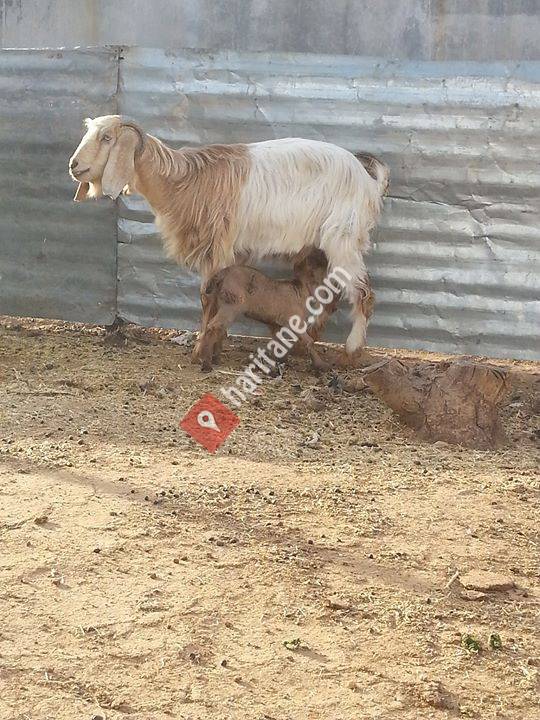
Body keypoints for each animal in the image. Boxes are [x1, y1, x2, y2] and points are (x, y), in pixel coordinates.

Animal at [69, 115, 388, 355]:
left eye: (107, 138)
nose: (74, 165)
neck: (183, 183)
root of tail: (369, 182)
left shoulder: (217, 248)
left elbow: (207, 296)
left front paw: (202, 345)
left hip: (344, 237)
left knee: (363, 291)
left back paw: (353, 348)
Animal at [197, 249, 373, 373]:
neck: (302, 291)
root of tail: (219, 276)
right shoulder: (296, 322)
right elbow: (308, 341)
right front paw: (321, 365)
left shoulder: (276, 324)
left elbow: (279, 342)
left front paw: (280, 360)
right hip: (231, 306)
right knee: (213, 327)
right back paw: (206, 363)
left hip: (220, 304)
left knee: (218, 329)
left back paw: (216, 358)